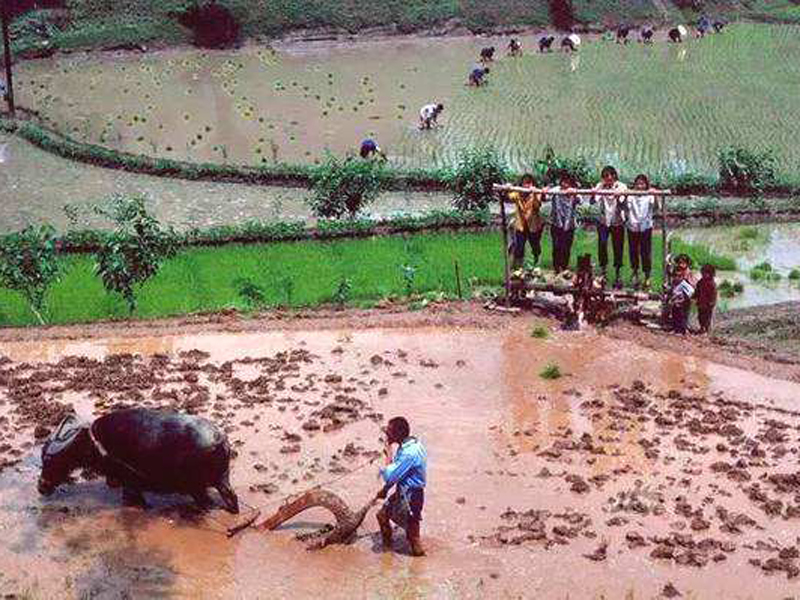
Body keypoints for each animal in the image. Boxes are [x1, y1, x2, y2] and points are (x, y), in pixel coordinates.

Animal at [38, 410, 238, 512]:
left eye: (50, 460)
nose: (41, 487)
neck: (97, 445)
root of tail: (221, 439)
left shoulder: (130, 483)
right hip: (221, 481)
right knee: (231, 498)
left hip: (197, 487)